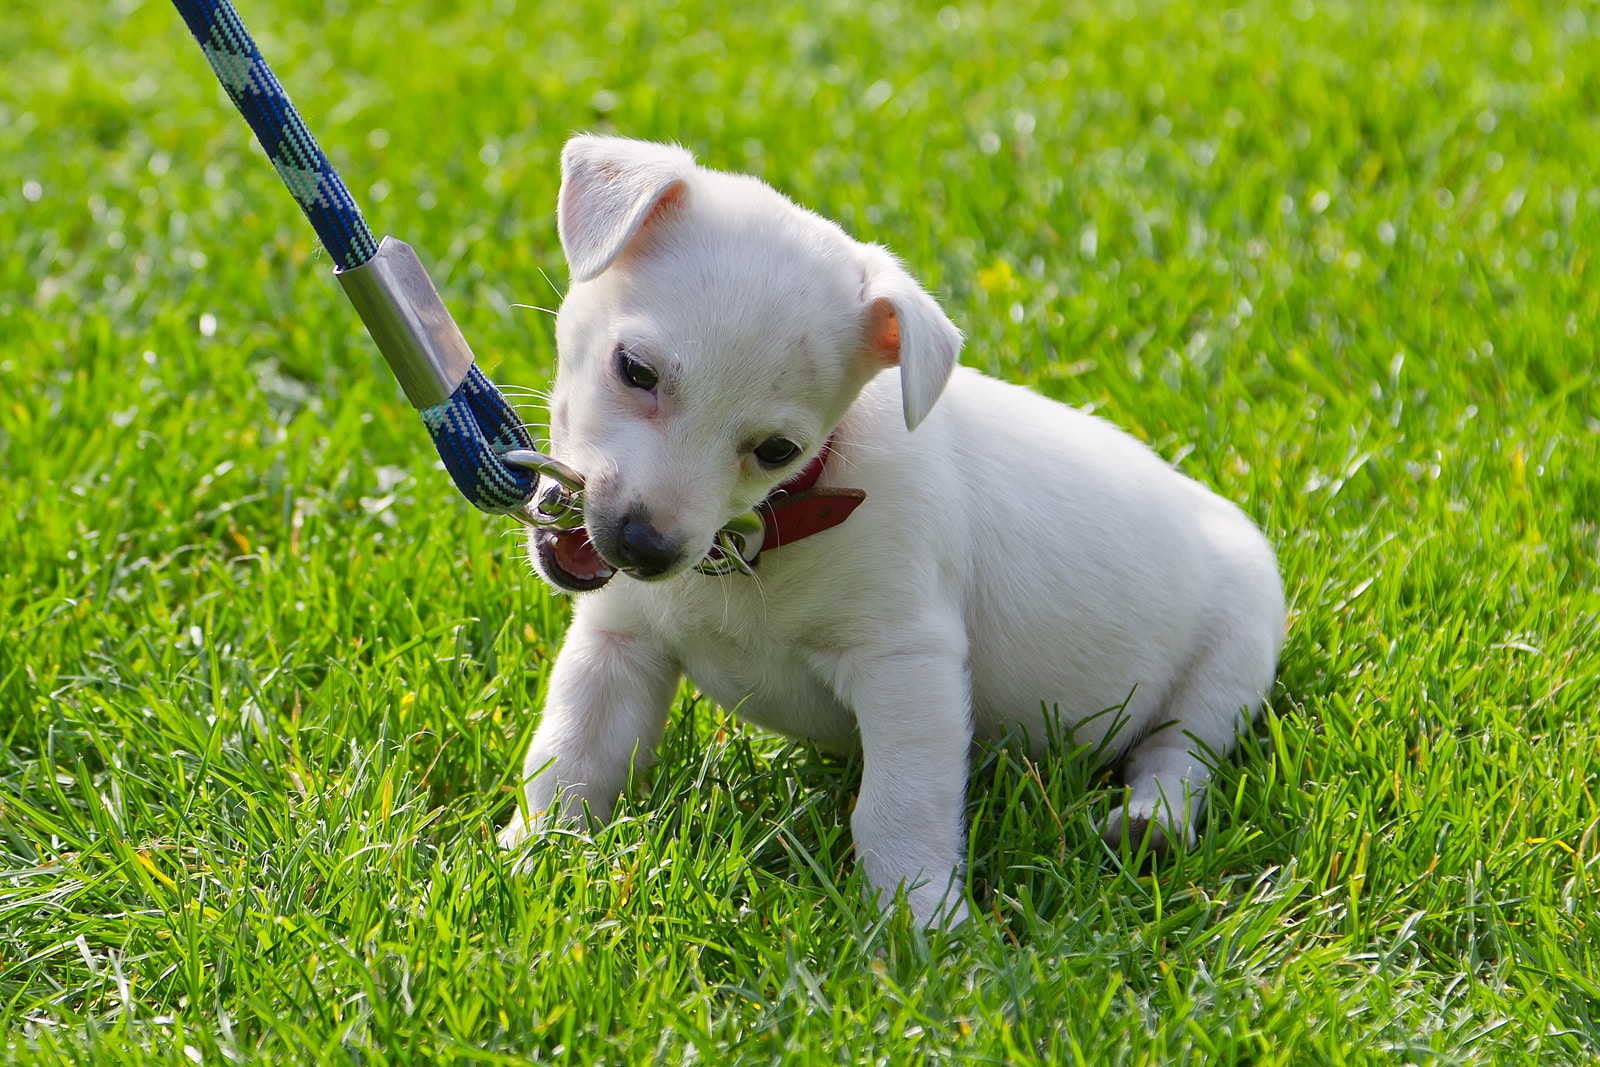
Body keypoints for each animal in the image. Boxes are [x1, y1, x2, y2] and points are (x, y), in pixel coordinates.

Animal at [502, 137, 1286, 927]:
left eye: (778, 450)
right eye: (634, 369)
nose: (641, 547)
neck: (765, 533)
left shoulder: (906, 664)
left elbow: (899, 805)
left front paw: (922, 918)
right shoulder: (618, 645)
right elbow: (570, 756)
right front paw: (529, 855)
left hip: (1232, 656)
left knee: (1180, 752)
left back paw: (1150, 822)